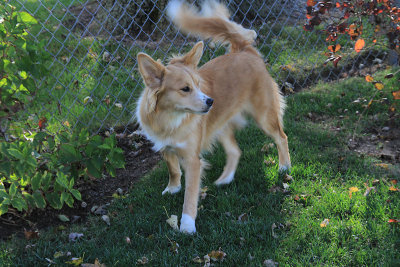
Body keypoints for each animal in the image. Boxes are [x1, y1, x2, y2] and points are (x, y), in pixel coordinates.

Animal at [137, 0, 290, 233]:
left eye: (198, 85)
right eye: (185, 89)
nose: (211, 101)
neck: (170, 118)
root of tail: (243, 50)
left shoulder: (193, 160)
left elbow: (190, 194)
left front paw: (187, 224)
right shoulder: (165, 146)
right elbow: (173, 170)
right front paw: (173, 188)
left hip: (264, 116)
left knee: (281, 137)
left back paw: (284, 167)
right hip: (221, 124)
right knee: (235, 151)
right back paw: (225, 179)